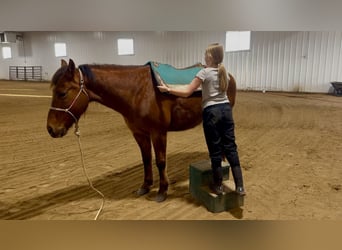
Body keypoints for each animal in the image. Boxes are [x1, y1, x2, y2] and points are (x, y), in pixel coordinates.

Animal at [46, 59, 236, 202]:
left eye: (62, 93)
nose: (51, 129)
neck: (137, 91)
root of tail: (227, 74)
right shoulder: (139, 134)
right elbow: (146, 159)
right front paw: (145, 186)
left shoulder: (158, 133)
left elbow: (160, 161)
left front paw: (162, 191)